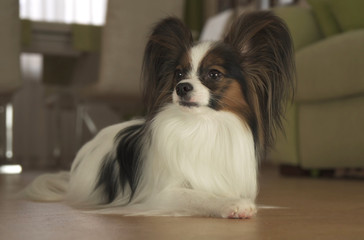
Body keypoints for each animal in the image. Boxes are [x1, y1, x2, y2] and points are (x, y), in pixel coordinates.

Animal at [24, 10, 294, 219]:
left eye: (214, 74)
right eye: (178, 74)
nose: (182, 87)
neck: (201, 124)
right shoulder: (162, 194)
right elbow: (200, 195)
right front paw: (231, 204)